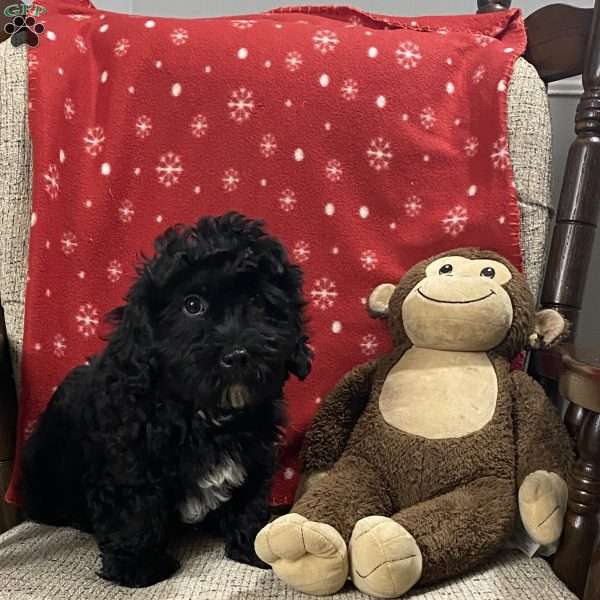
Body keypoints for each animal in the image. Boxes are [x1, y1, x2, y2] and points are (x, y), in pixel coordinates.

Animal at [21, 213, 312, 588]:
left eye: (259, 302)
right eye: (192, 305)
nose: (237, 355)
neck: (205, 413)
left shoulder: (255, 454)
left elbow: (250, 499)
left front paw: (256, 544)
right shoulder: (129, 458)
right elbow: (135, 508)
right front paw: (139, 567)